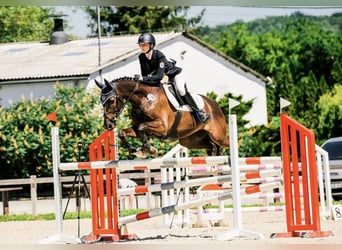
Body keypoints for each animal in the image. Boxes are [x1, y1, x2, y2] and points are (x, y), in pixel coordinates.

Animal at [94, 77, 230, 157]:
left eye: (111, 101)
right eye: (101, 101)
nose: (108, 125)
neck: (145, 100)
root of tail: (215, 105)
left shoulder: (162, 128)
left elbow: (142, 127)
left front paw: (149, 149)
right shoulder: (138, 128)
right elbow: (125, 132)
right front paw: (136, 150)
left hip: (219, 136)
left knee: (227, 143)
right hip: (190, 140)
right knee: (212, 146)